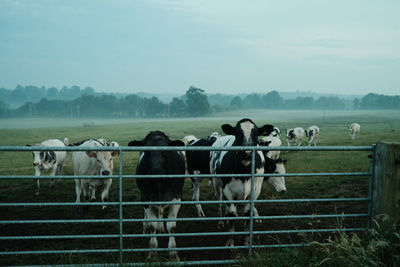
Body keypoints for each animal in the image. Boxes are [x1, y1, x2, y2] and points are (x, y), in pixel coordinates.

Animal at [127, 132, 185, 262]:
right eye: (146, 151)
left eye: (166, 151)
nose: (156, 173)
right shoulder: (146, 197)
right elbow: (152, 225)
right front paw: (152, 251)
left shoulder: (176, 197)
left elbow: (171, 227)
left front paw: (173, 253)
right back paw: (146, 227)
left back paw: (161, 227)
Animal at [211, 118, 286, 248]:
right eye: (238, 134)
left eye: (256, 135)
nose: (247, 153)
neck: (244, 170)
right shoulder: (228, 190)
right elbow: (232, 215)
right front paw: (231, 241)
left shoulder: (255, 190)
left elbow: (247, 213)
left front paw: (246, 239)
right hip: (217, 183)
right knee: (219, 199)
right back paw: (221, 221)